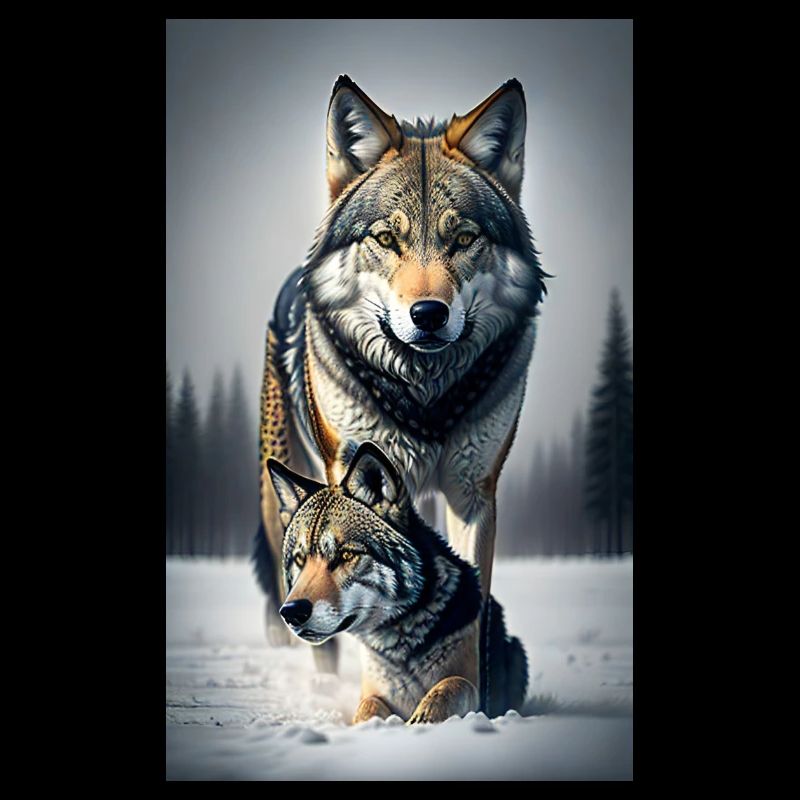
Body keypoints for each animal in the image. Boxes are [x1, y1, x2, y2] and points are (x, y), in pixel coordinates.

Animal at [253, 75, 547, 673]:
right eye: (387, 239)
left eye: (464, 238)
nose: (429, 314)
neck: (424, 400)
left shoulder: (473, 492)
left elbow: (470, 595)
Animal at [267, 441, 528, 723]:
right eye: (300, 559)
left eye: (346, 555)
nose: (291, 612)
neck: (401, 644)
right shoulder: (372, 692)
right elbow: (368, 707)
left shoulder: (472, 686)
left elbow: (453, 684)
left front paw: (423, 717)